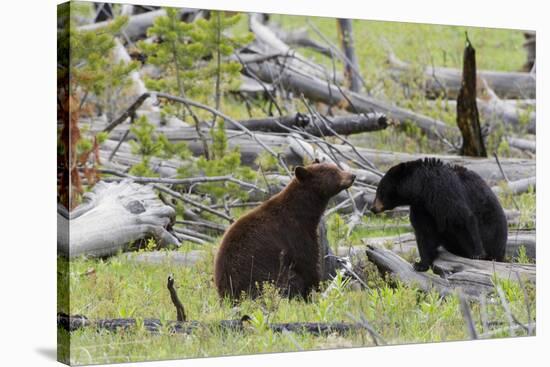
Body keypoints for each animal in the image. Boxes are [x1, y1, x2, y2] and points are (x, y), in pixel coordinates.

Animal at [213, 162, 356, 300]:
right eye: (333, 172)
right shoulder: (294, 232)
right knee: (291, 279)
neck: (301, 212)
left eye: (336, 168)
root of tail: (226, 293)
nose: (352, 175)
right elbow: (307, 261)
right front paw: (315, 290)